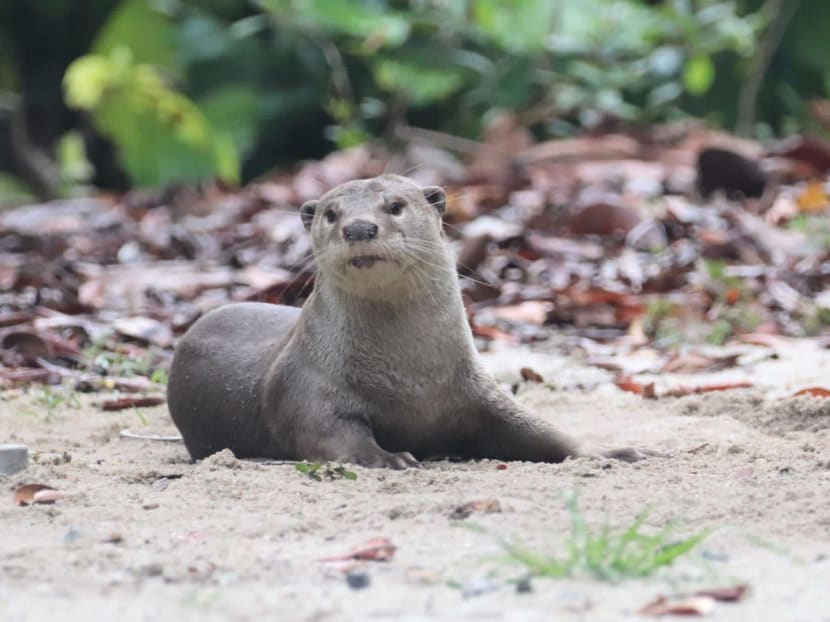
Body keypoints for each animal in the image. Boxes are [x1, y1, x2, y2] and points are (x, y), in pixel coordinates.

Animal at [168, 175, 642, 468]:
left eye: (395, 206)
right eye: (331, 214)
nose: (359, 227)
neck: (411, 377)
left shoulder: (478, 391)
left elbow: (542, 431)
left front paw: (610, 451)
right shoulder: (309, 386)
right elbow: (329, 432)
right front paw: (386, 457)